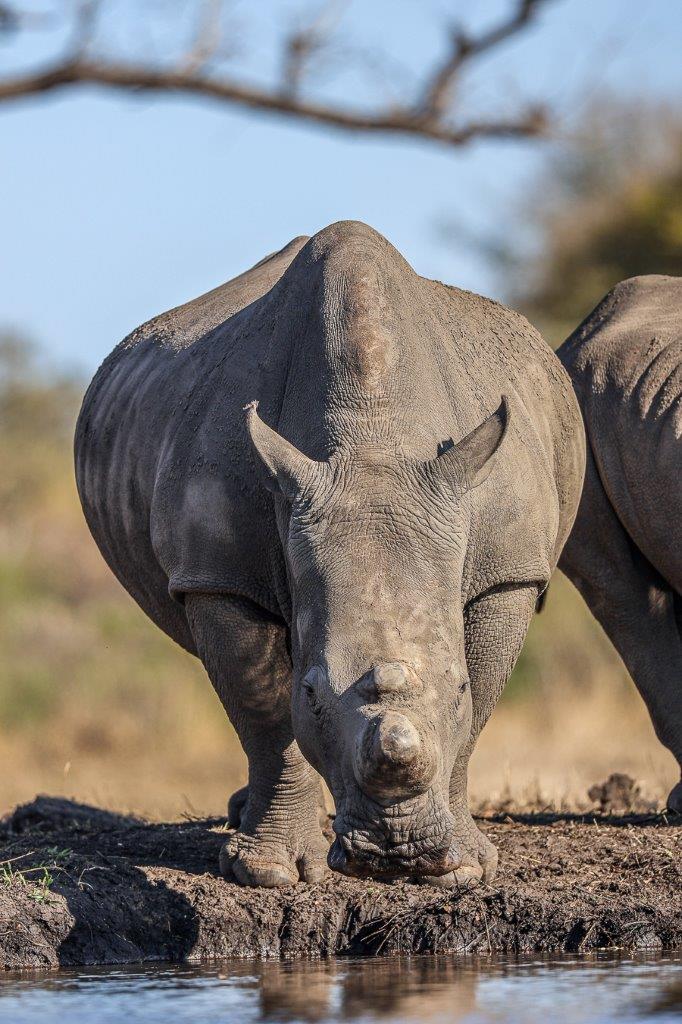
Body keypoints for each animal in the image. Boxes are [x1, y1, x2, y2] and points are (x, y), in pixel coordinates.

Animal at [75, 221, 585, 886]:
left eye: (456, 690)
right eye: (315, 693)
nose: (396, 854)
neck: (373, 438)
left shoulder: (510, 571)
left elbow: (478, 706)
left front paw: (462, 868)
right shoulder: (217, 573)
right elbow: (265, 713)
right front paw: (272, 872)